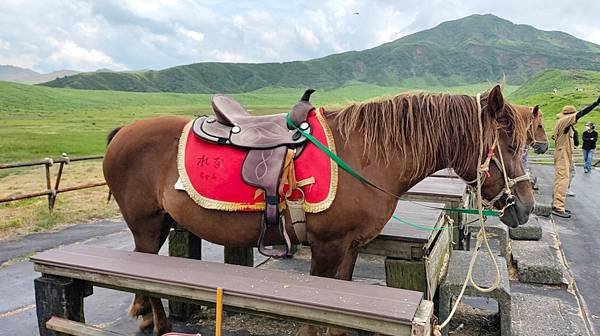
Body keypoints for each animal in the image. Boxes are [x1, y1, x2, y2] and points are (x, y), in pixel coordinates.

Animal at [103, 84, 536, 334]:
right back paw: (157, 322)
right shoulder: (327, 247)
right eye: (510, 145)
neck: (364, 156)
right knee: (147, 277)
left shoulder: (349, 248)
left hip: (159, 225)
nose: (526, 207)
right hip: (146, 225)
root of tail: (122, 132)